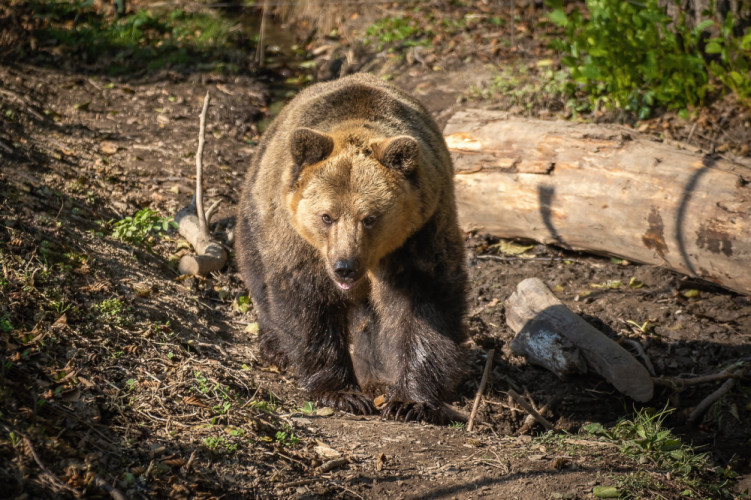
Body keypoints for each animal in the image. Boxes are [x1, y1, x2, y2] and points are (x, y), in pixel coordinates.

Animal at [238, 72, 468, 422]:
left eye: (370, 218)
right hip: (258, 211)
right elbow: (308, 303)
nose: (345, 267)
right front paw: (342, 393)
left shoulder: (421, 232)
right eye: (326, 216)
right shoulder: (301, 244)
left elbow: (425, 304)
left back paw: (375, 376)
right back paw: (275, 348)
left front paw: (409, 401)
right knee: (258, 274)